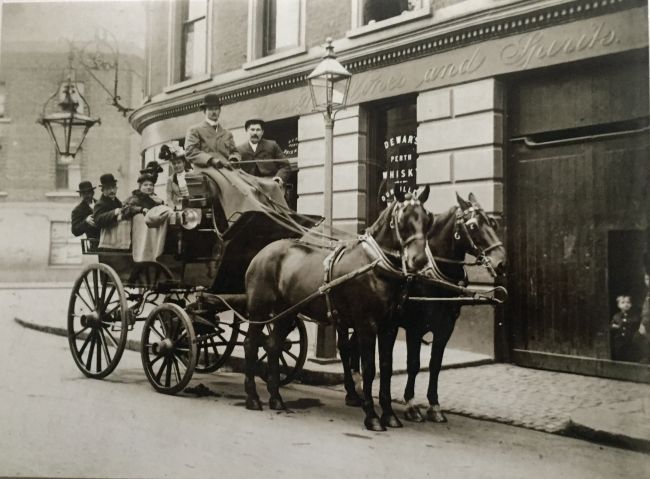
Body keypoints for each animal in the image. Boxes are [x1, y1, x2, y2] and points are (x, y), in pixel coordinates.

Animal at [243, 188, 430, 432]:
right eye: (403, 219)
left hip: (287, 314)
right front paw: (372, 416)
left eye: (427, 219)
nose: (420, 260)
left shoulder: (389, 327)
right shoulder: (366, 325)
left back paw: (275, 398)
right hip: (259, 311)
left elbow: (386, 368)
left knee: (273, 346)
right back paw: (252, 397)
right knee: (251, 344)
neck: (375, 266)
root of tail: (262, 252)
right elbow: (369, 369)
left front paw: (389, 415)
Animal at [400, 193, 506, 422]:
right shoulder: (414, 328)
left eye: (493, 223)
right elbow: (413, 364)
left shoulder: (445, 328)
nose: (501, 262)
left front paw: (434, 405)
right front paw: (411, 404)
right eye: (473, 226)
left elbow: (435, 365)